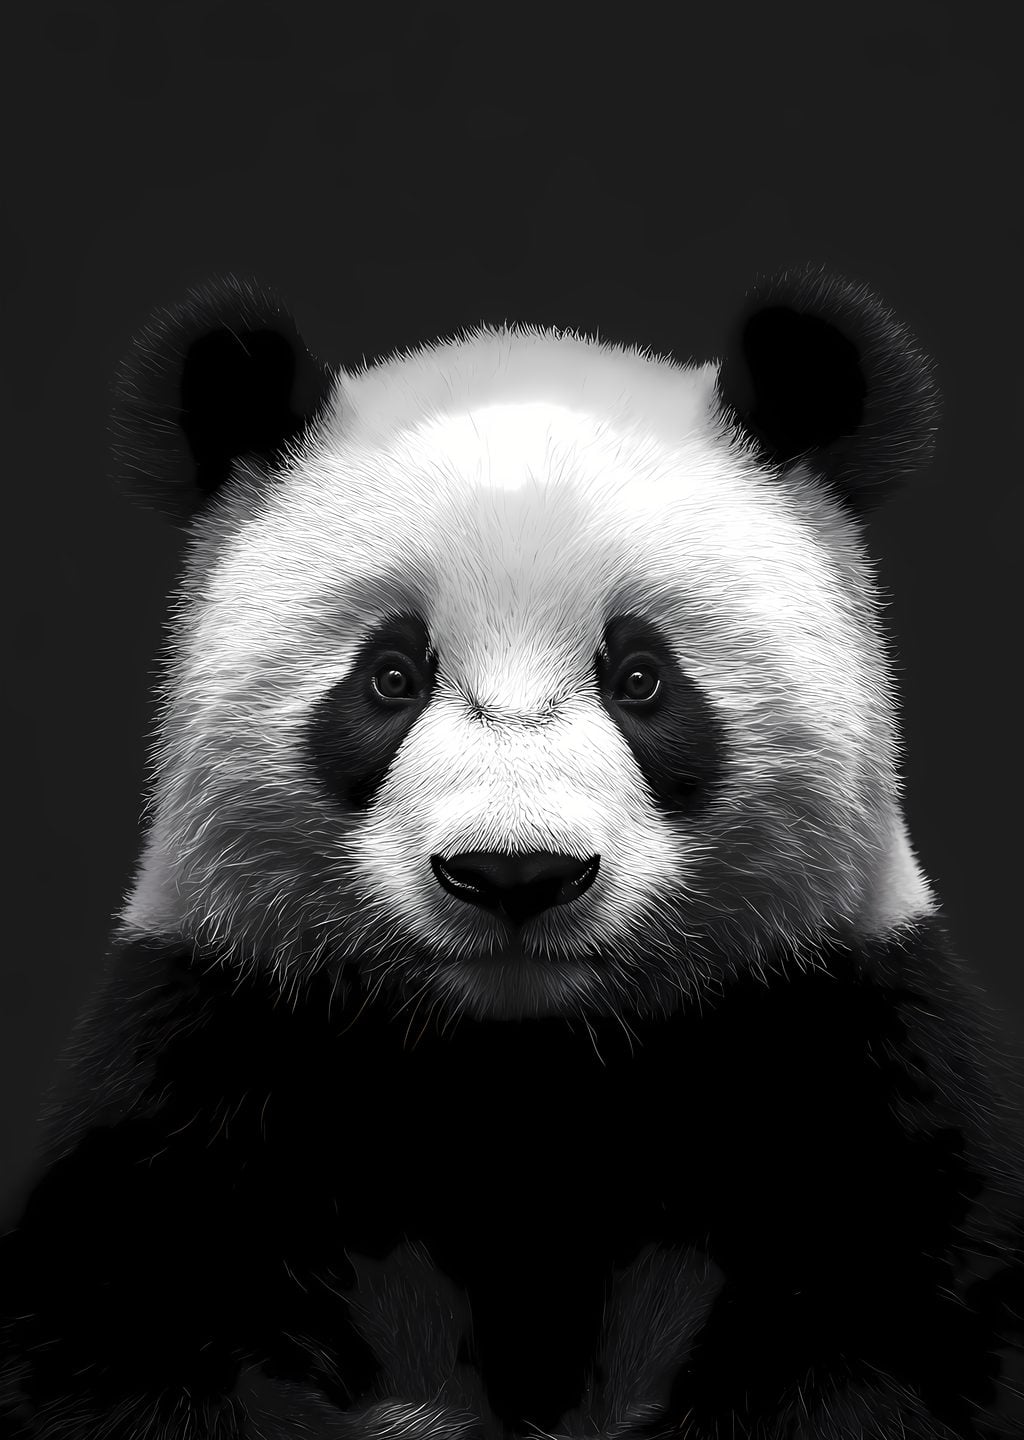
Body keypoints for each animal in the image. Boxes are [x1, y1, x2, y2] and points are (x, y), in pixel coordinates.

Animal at [1, 269, 1022, 1440]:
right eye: (390, 676)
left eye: (642, 678)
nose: (514, 874)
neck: (525, 1066)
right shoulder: (216, 1048)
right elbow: (129, 1330)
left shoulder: (841, 1033)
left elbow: (897, 1325)